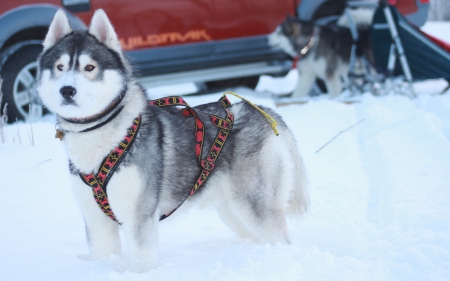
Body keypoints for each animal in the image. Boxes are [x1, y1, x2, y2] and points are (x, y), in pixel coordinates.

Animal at [37, 9, 310, 272]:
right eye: (60, 67)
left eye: (90, 68)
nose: (67, 90)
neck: (102, 137)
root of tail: (262, 110)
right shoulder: (96, 221)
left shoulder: (139, 216)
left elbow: (142, 262)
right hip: (233, 209)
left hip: (254, 205)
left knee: (282, 240)